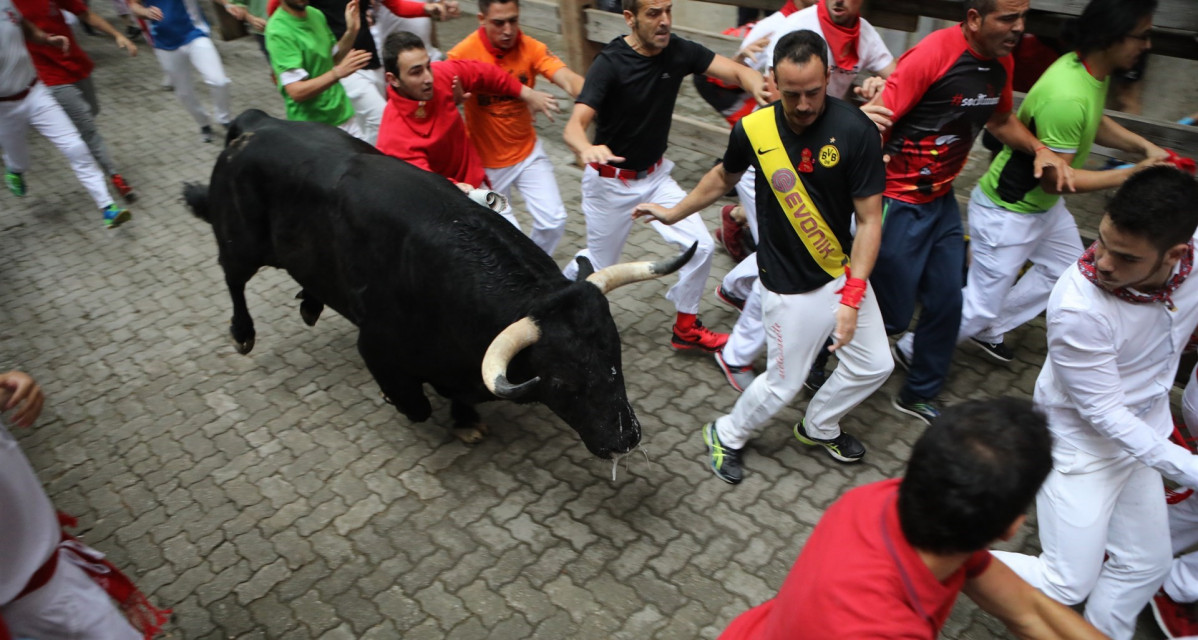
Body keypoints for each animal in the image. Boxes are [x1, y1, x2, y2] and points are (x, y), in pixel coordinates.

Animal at [182, 111, 699, 462]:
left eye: (615, 357)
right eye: (562, 381)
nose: (625, 437)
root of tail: (256, 123)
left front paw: (466, 420)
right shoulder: (376, 346)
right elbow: (415, 404)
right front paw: (419, 408)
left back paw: (311, 301)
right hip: (240, 239)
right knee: (232, 276)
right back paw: (243, 333)